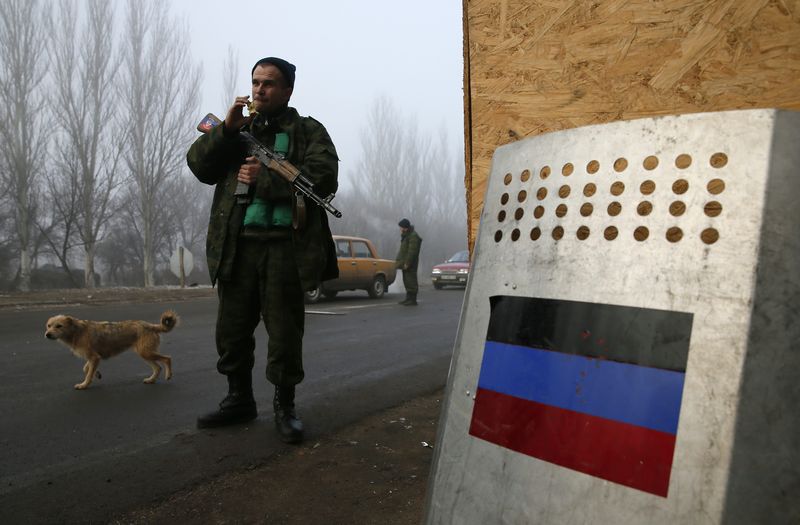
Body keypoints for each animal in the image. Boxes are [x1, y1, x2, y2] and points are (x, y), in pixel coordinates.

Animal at [46, 312, 180, 388]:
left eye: (59, 326)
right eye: (48, 325)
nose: (47, 334)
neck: (77, 331)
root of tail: (150, 325)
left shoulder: (94, 357)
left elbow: (88, 374)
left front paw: (84, 385)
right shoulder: (93, 357)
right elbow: (86, 368)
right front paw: (97, 374)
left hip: (146, 353)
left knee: (167, 359)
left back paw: (168, 375)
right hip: (145, 353)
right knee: (158, 367)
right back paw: (151, 380)